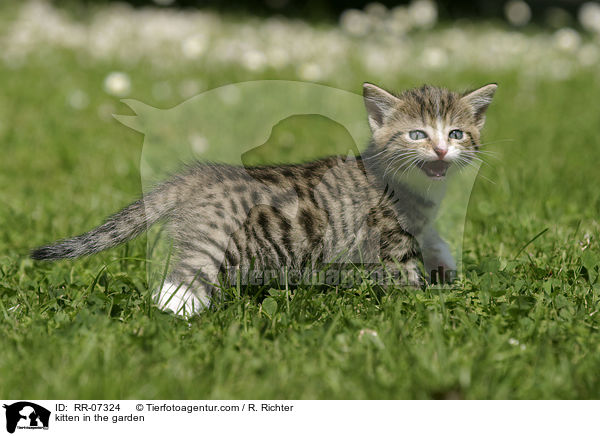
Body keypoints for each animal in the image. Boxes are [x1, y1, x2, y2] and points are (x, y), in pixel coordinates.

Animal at [34, 82, 502, 316]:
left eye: (456, 133)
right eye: (417, 134)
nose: (440, 150)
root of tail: (202, 174)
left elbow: (434, 237)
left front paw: (446, 265)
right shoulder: (389, 238)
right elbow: (406, 275)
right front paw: (426, 304)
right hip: (217, 240)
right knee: (180, 281)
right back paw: (176, 317)